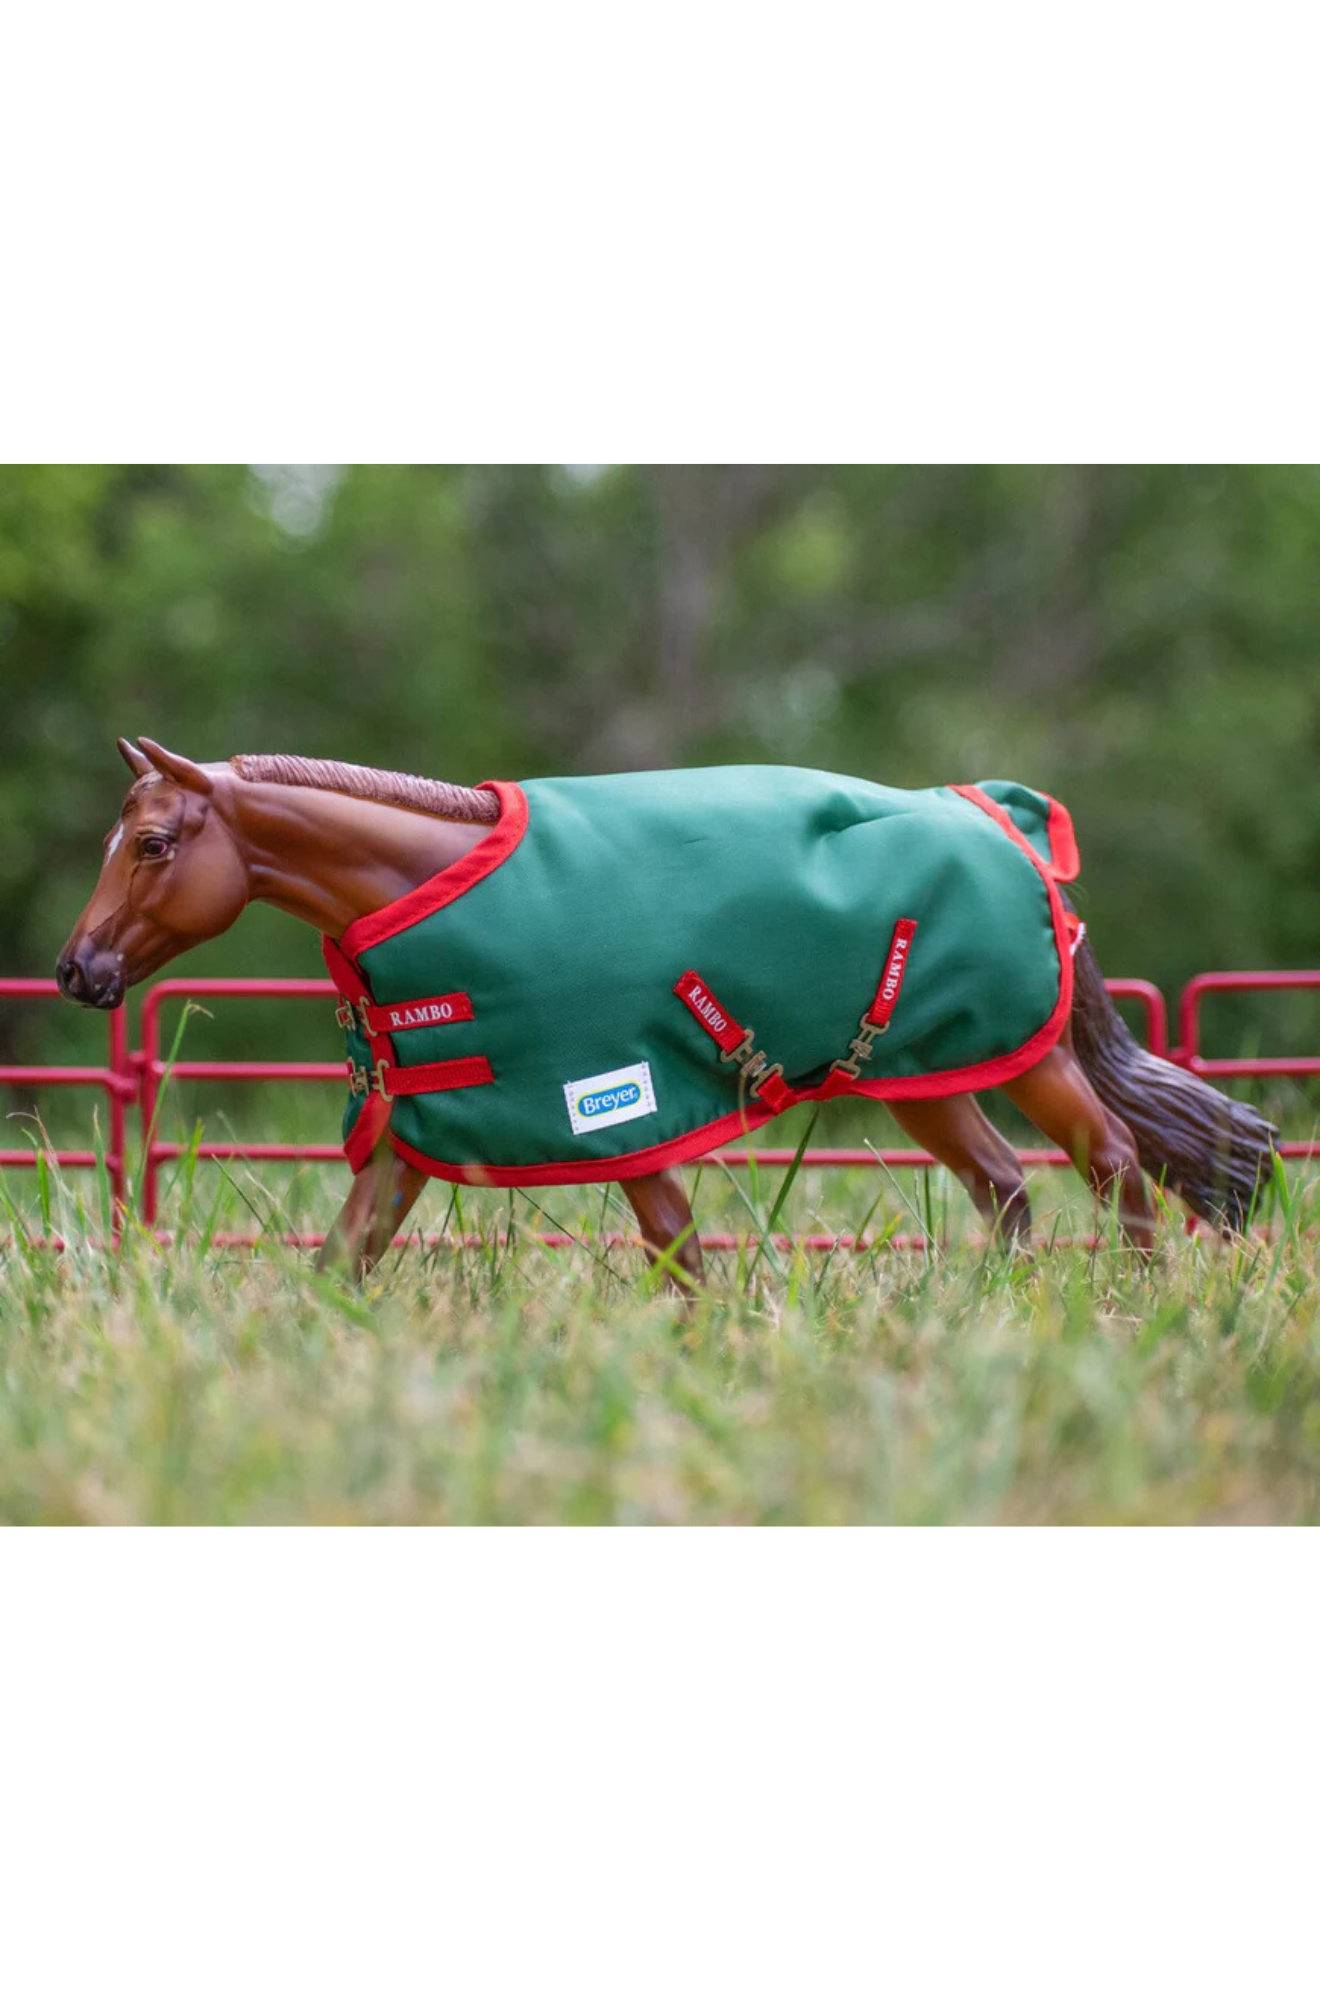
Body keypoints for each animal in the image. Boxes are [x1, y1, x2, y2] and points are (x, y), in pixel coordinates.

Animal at [56, 744, 1274, 1289]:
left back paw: (1135, 1301)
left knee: (1109, 1158)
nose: (80, 970)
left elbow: (680, 1248)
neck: (431, 877)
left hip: (1023, 1059)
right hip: (920, 1078)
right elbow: (346, 1254)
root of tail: (1001, 818)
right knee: (1005, 1183)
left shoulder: (610, 1107)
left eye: (153, 842)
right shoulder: (425, 1134)